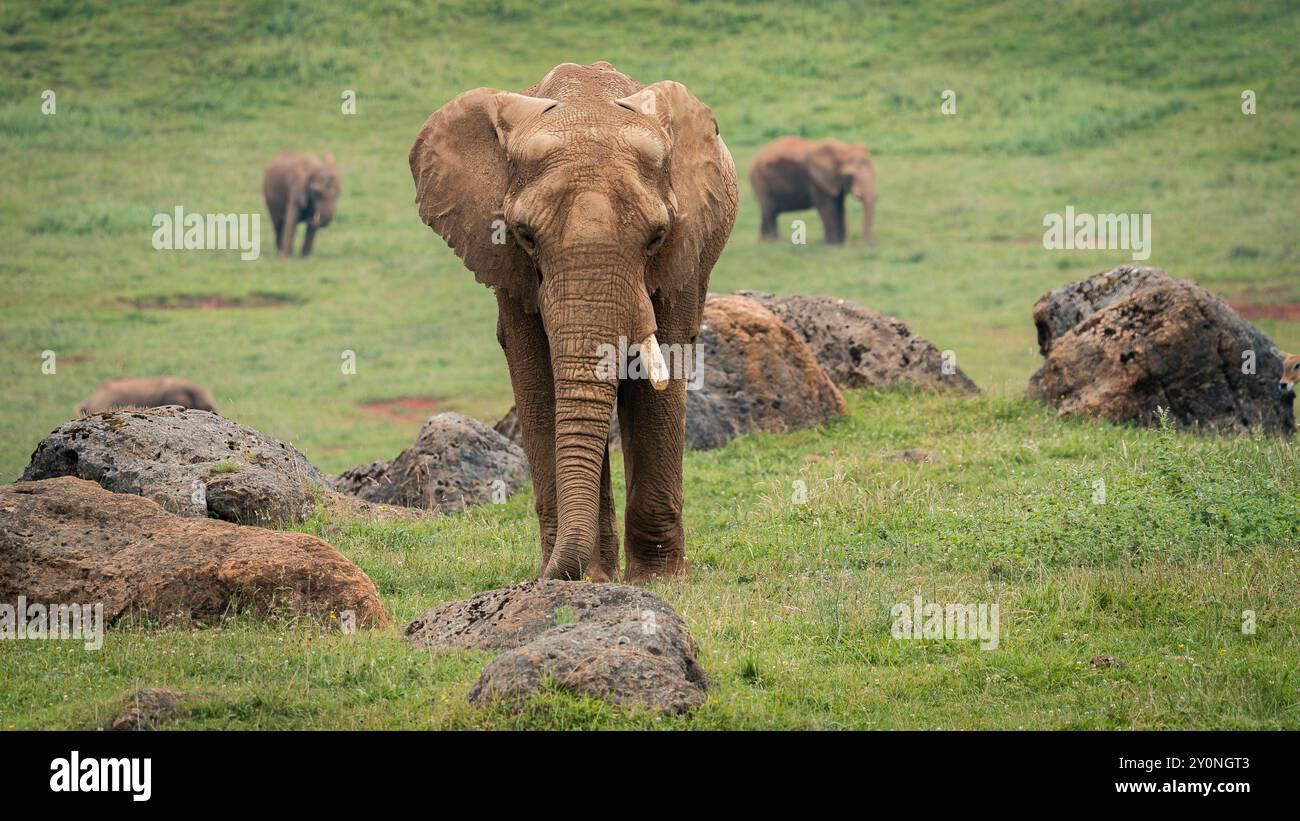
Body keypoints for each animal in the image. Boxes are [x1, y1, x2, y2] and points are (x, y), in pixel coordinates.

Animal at [409, 61, 739, 582]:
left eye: (656, 236)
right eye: (524, 235)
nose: (545, 577)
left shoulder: (684, 252)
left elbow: (660, 370)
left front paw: (660, 581)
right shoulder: (506, 264)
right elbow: (535, 376)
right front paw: (589, 580)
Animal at [749, 136, 877, 244]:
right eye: (850, 175)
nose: (868, 244)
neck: (844, 150)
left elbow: (839, 206)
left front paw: (841, 244)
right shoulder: (817, 181)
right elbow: (827, 207)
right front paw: (833, 245)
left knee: (767, 211)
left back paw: (764, 242)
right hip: (760, 180)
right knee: (769, 210)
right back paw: (774, 243)